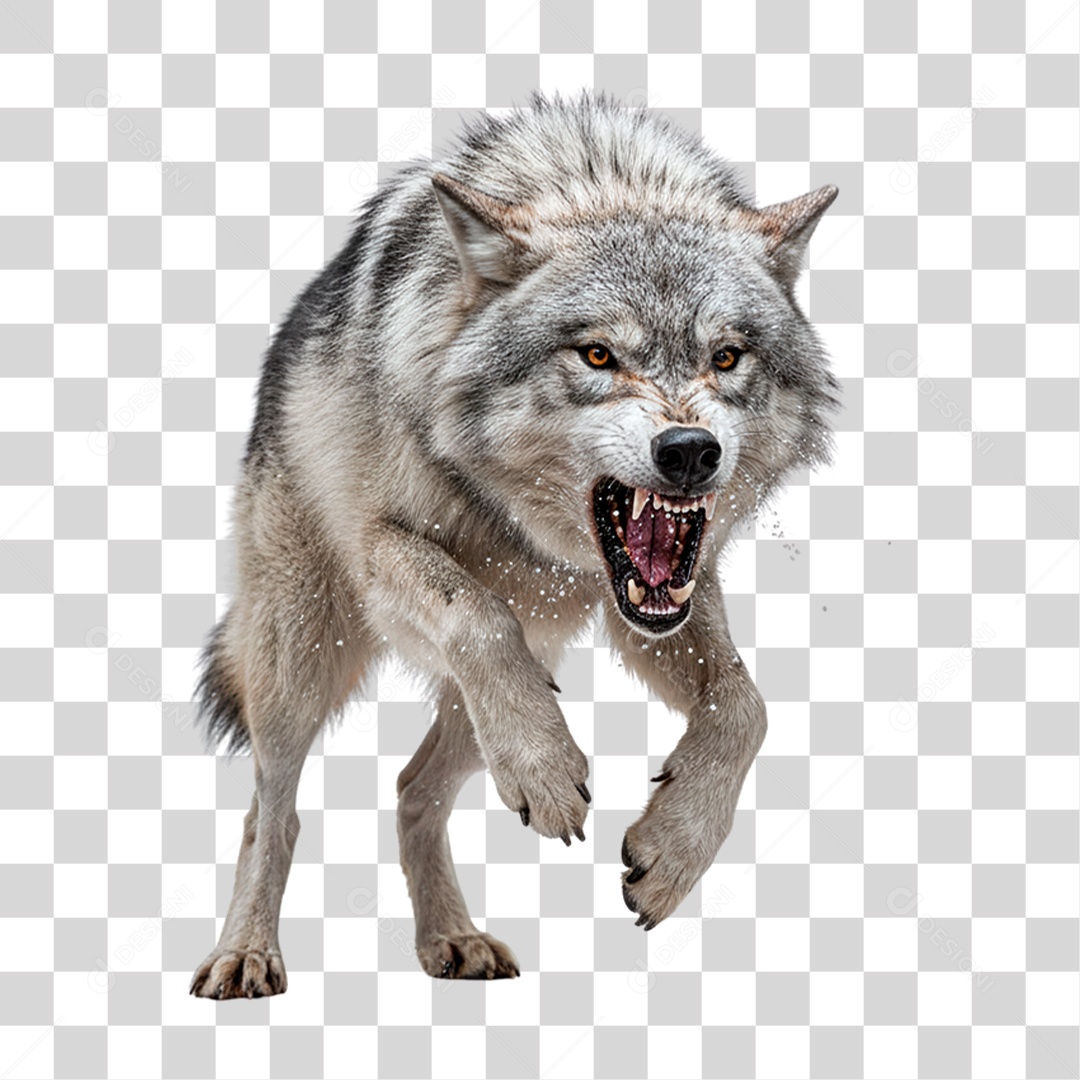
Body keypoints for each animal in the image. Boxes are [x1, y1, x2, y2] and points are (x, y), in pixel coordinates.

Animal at [189, 92, 839, 996]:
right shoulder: (384, 551)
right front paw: (547, 772)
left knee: (413, 787)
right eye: (597, 354)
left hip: (508, 681)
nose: (689, 450)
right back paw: (245, 954)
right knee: (269, 809)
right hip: (300, 655)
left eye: (726, 356)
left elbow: (747, 706)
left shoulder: (661, 601)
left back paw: (450, 940)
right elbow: (477, 613)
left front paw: (673, 852)